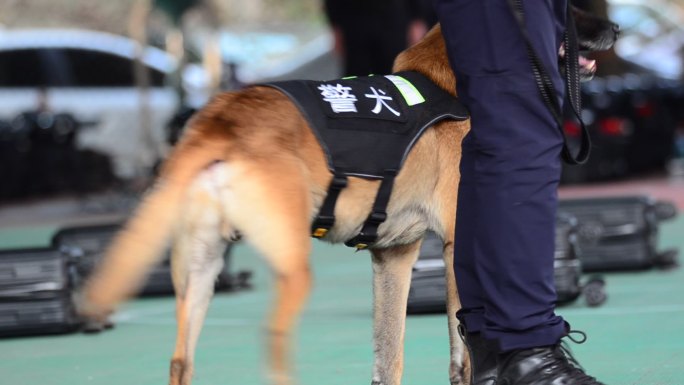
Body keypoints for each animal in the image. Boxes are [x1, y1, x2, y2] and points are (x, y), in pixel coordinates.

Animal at [79, 10, 620, 384]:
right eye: (566, 9)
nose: (616, 27)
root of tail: (222, 117)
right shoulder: (455, 249)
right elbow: (463, 350)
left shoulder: (393, 256)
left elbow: (389, 355)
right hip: (290, 268)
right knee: (274, 343)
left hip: (198, 273)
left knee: (179, 361)